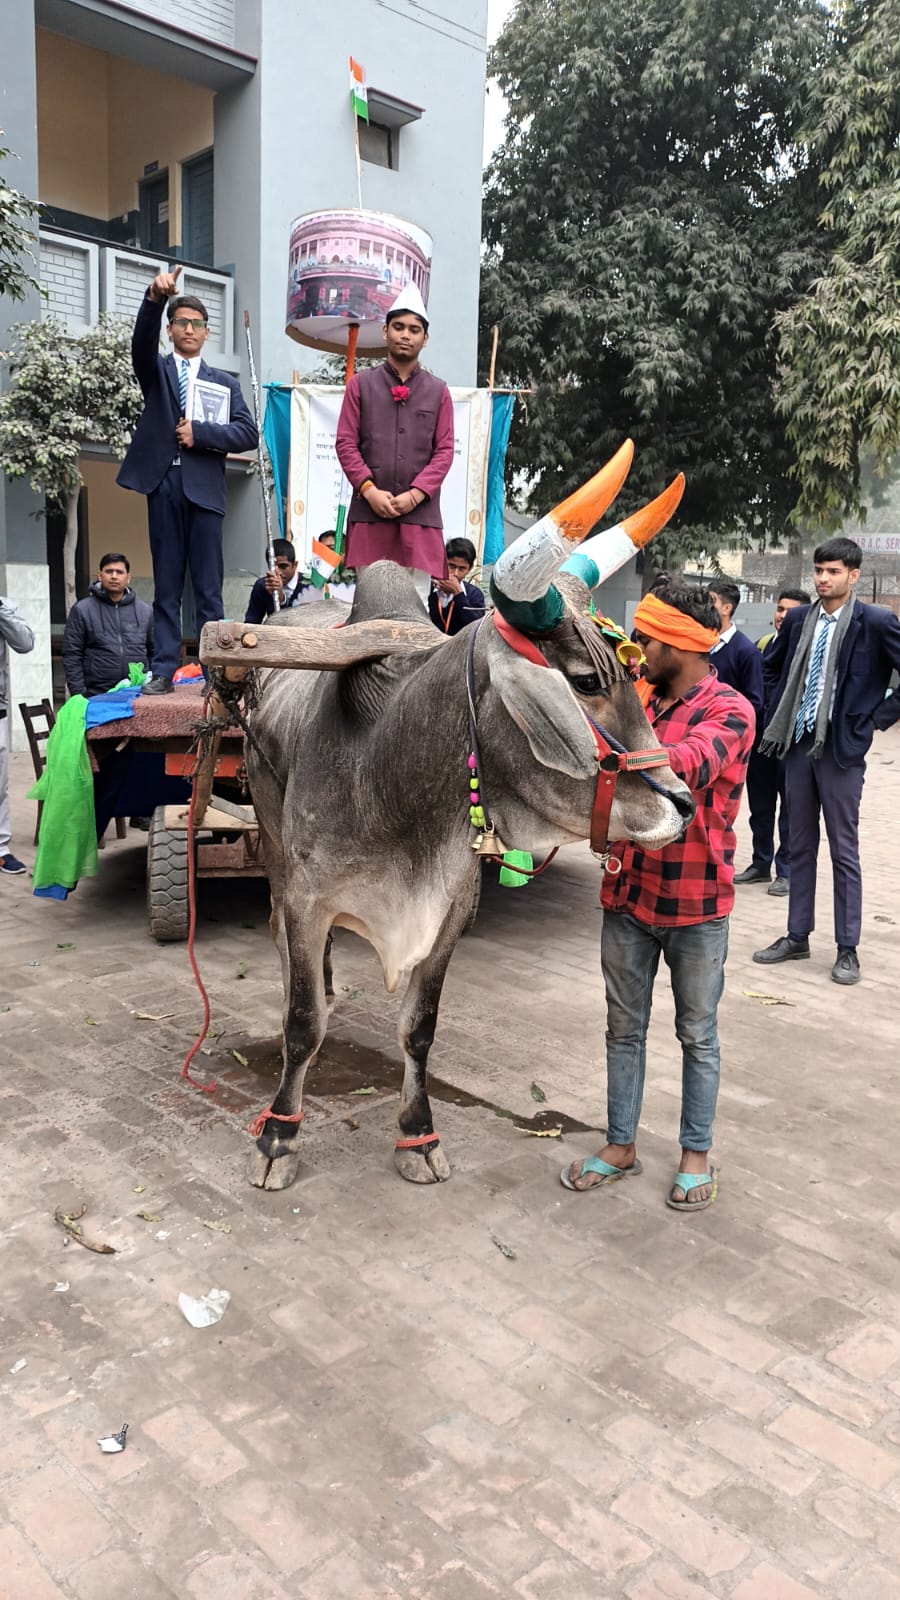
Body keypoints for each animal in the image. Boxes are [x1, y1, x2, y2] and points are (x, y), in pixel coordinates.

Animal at [205, 449, 695, 1191]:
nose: (683, 803)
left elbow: (419, 1027)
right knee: (283, 940)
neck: (390, 772)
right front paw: (279, 1139)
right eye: (585, 680)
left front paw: (417, 1135)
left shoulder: (451, 913)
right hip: (272, 839)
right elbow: (301, 1023)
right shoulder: (308, 900)